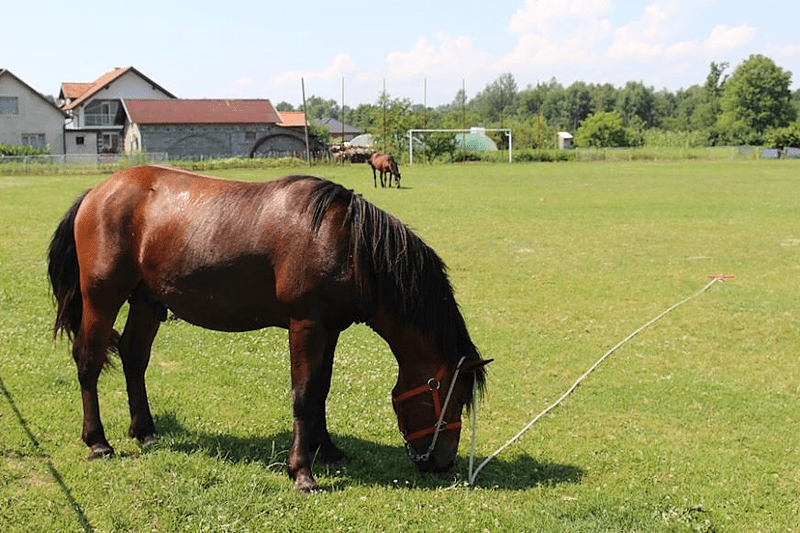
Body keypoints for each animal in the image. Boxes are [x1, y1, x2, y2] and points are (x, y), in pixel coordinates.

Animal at [50, 163, 490, 490]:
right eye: (452, 396)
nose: (444, 462)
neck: (347, 242)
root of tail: (97, 191)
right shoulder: (306, 324)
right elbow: (303, 394)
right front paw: (302, 471)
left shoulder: (330, 328)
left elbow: (321, 390)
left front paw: (326, 449)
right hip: (102, 298)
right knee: (88, 361)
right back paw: (98, 442)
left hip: (146, 302)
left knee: (134, 356)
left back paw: (144, 430)